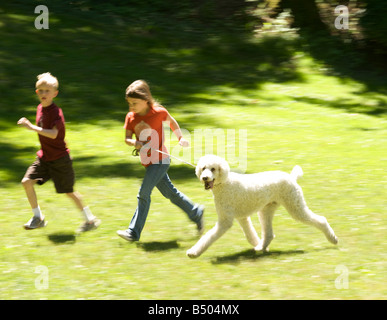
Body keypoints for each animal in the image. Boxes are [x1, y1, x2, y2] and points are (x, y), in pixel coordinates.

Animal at [186, 156, 338, 258]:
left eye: (213, 169)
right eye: (203, 168)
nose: (205, 178)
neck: (225, 183)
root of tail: (291, 177)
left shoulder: (225, 221)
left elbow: (209, 236)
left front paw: (194, 252)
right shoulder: (242, 217)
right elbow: (249, 234)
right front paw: (256, 243)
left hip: (295, 207)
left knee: (321, 219)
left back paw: (333, 239)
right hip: (266, 210)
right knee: (269, 233)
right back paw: (261, 248)